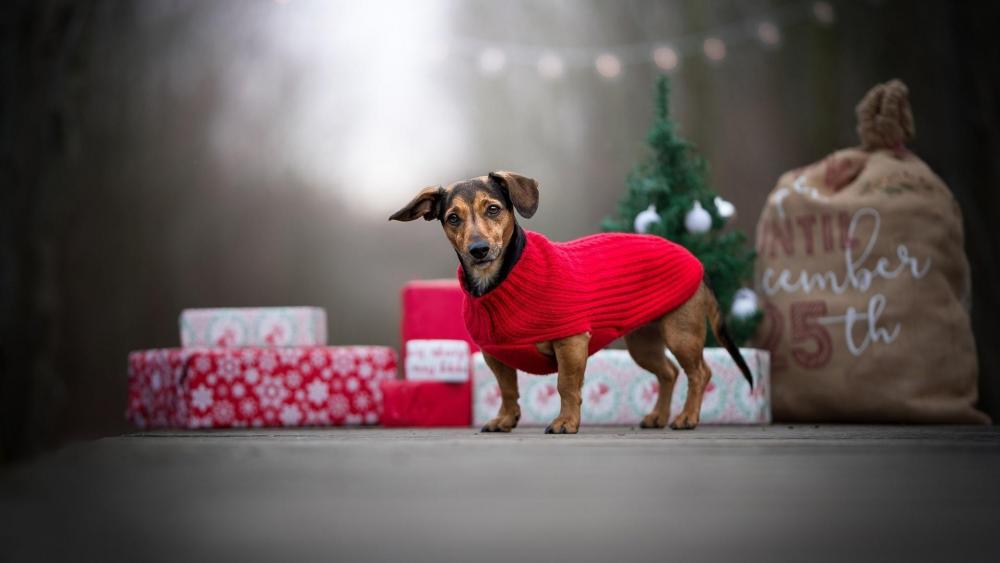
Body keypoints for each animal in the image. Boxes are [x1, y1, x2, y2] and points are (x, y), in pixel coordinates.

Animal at [390, 172, 752, 436]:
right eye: (453, 218)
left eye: (493, 208)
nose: (478, 250)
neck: (502, 279)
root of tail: (696, 262)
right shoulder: (495, 354)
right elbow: (507, 389)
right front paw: (505, 419)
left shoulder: (571, 343)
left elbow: (566, 385)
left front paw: (566, 422)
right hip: (643, 343)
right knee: (668, 373)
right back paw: (658, 416)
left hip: (682, 334)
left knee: (700, 373)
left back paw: (687, 416)